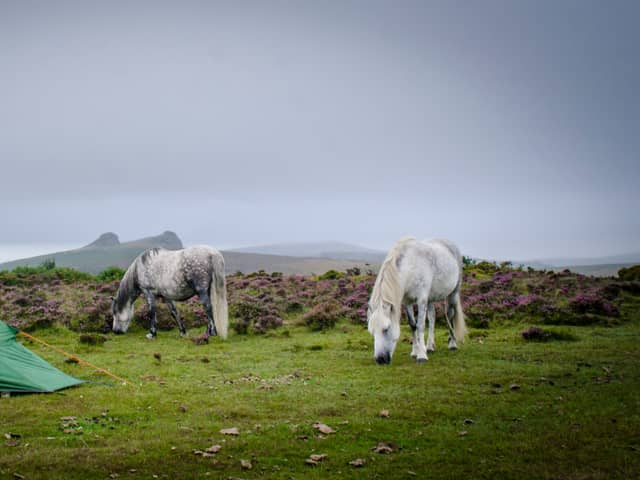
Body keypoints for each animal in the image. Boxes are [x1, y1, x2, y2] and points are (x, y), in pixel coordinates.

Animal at [368, 236, 468, 364]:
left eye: (386, 329)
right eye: (372, 331)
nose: (380, 360)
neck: (410, 266)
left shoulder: (421, 300)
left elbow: (420, 325)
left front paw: (421, 356)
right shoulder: (407, 302)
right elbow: (413, 325)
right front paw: (415, 352)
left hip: (453, 293)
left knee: (450, 316)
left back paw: (452, 344)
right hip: (431, 299)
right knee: (432, 318)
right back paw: (429, 347)